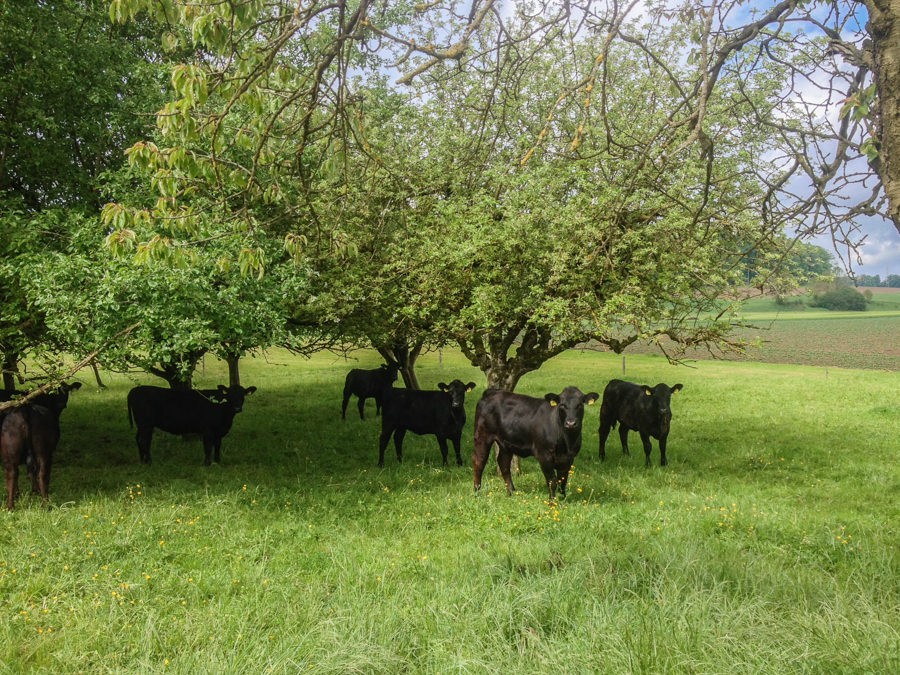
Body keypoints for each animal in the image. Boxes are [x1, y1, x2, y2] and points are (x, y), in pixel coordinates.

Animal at [125, 382, 256, 468]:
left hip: (142, 425)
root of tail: (134, 390)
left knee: (138, 439)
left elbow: (218, 446)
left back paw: (142, 461)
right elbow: (208, 447)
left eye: (242, 395)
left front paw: (217, 462)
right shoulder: (208, 430)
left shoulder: (218, 432)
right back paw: (149, 462)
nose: (237, 408)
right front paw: (207, 464)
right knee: (145, 441)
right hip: (146, 424)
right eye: (229, 395)